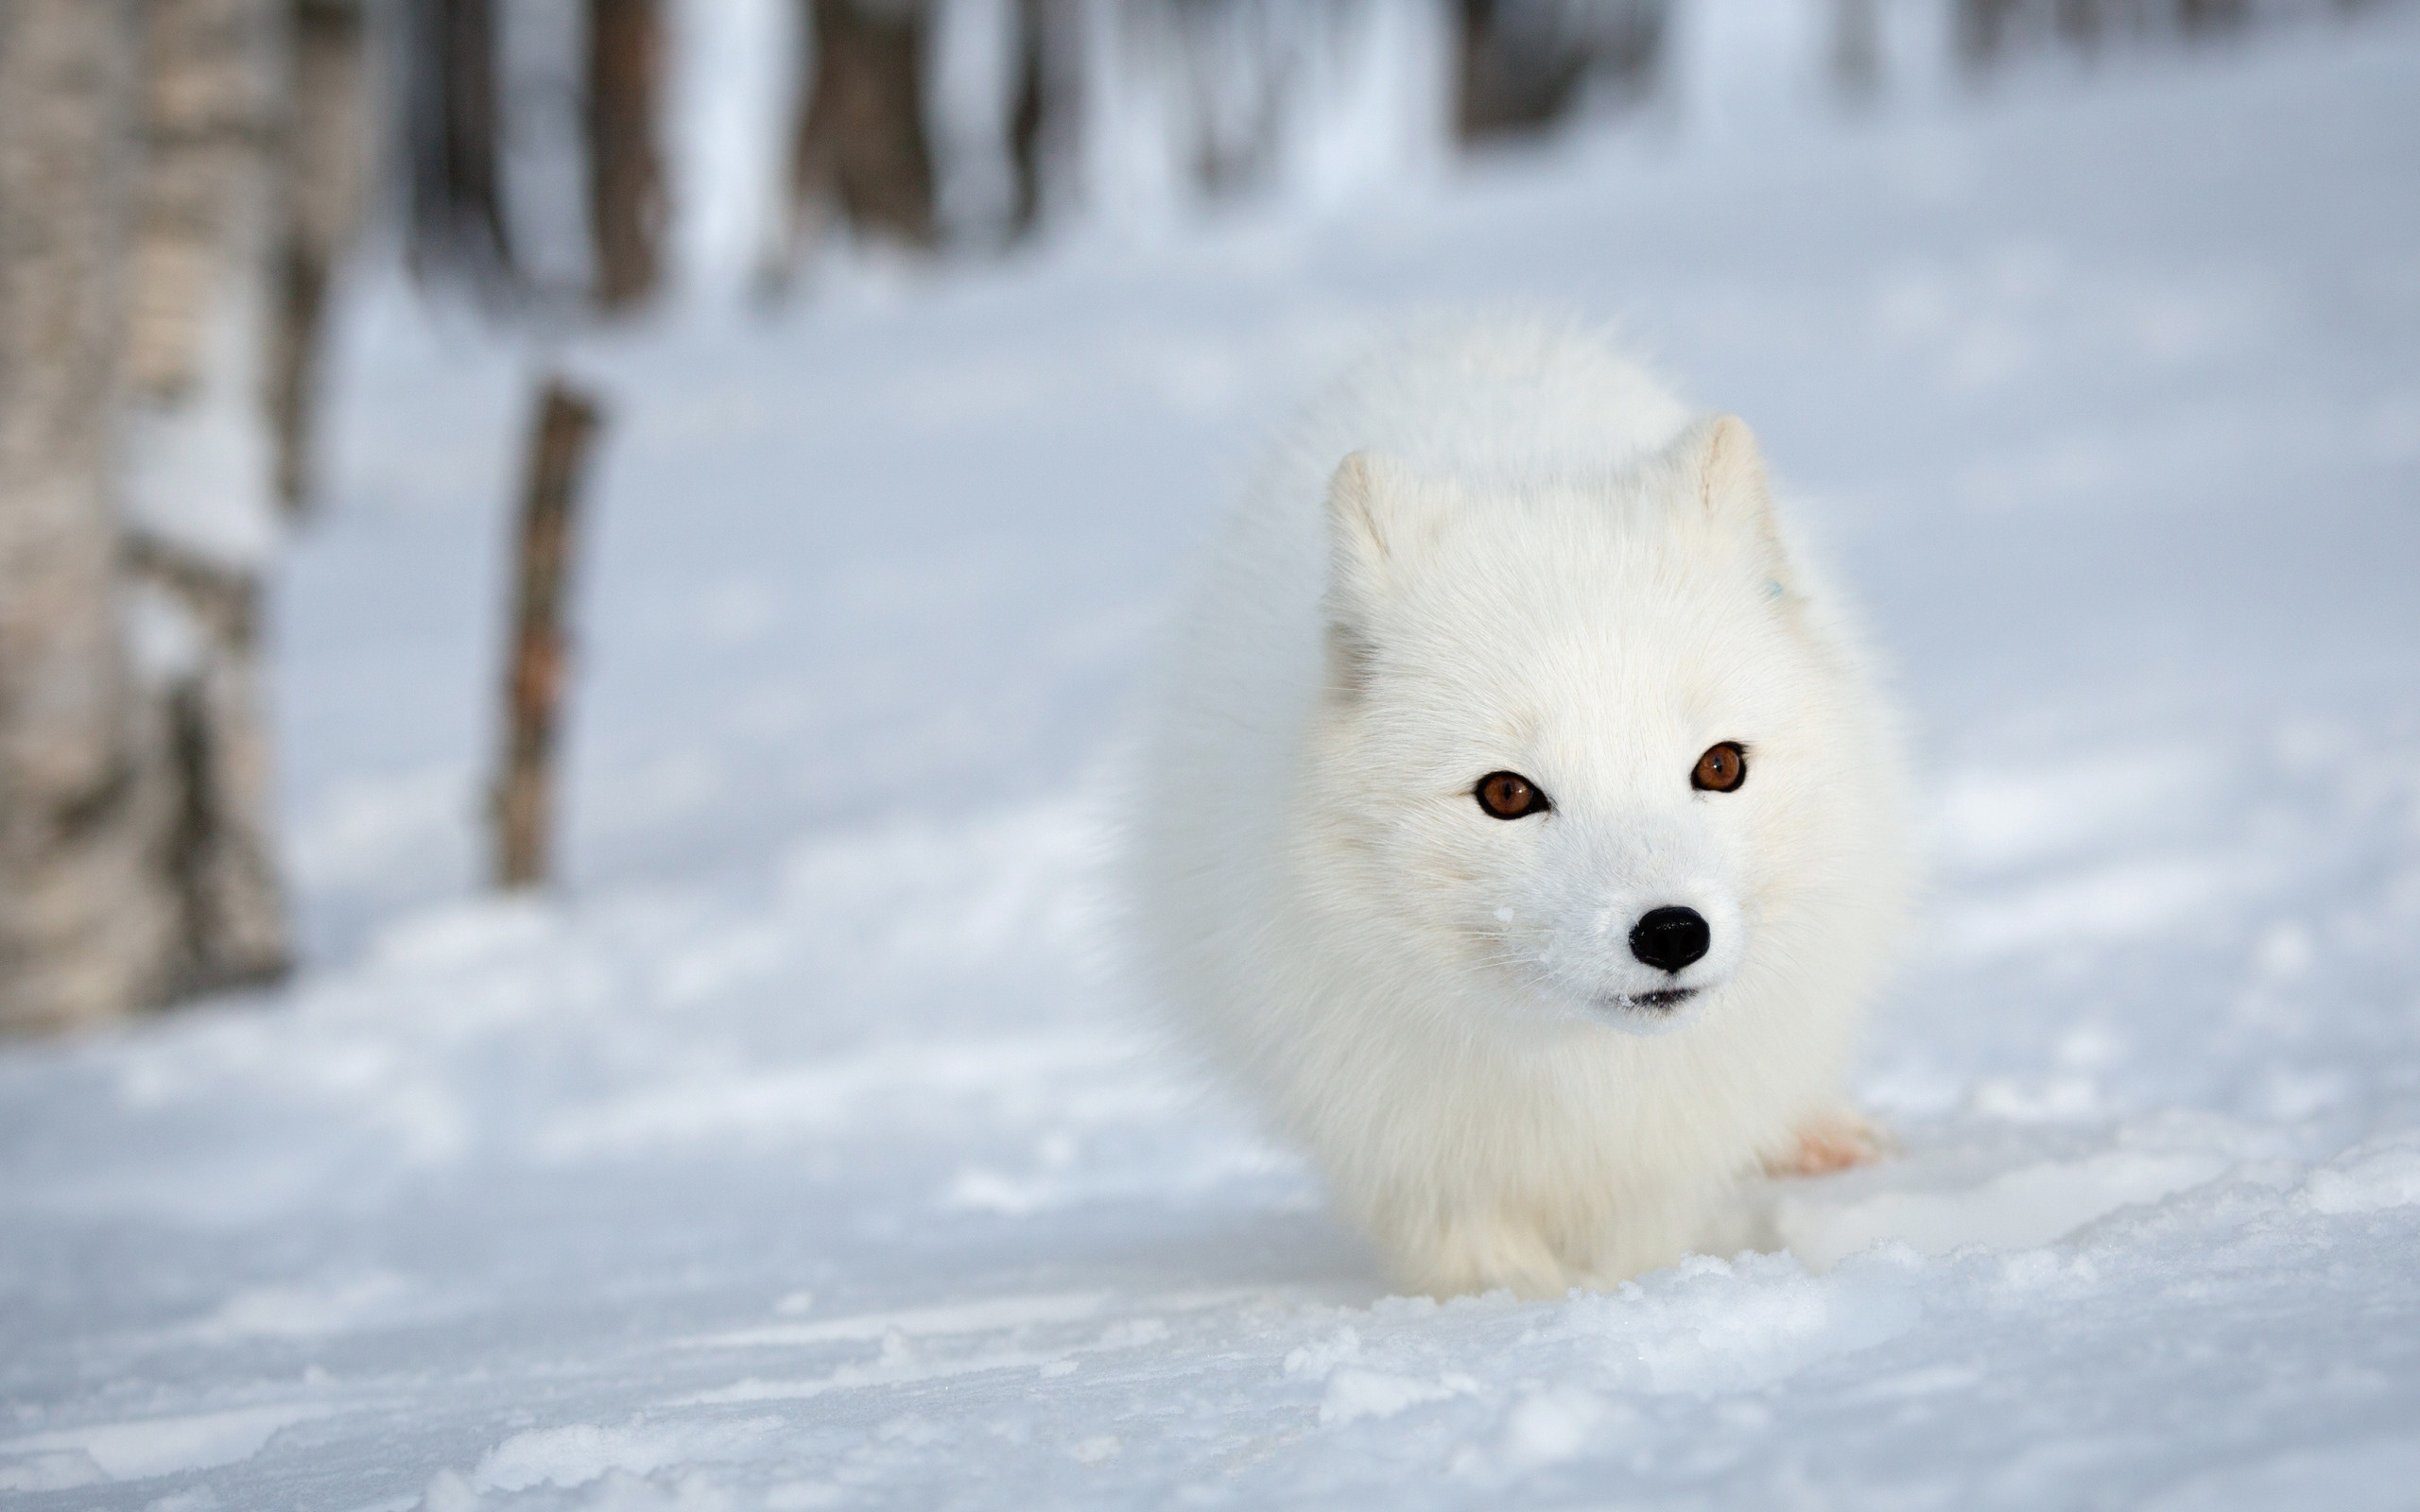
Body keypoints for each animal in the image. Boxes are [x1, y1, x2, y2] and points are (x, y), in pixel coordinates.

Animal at [1127, 324, 1907, 1286]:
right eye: (1507, 794)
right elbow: (1481, 1264)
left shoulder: (1660, 1155)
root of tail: (1484, 334)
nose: (1672, 933)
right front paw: (1522, 1311)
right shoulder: (1408, 1152)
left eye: (1720, 766)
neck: (1575, 1074)